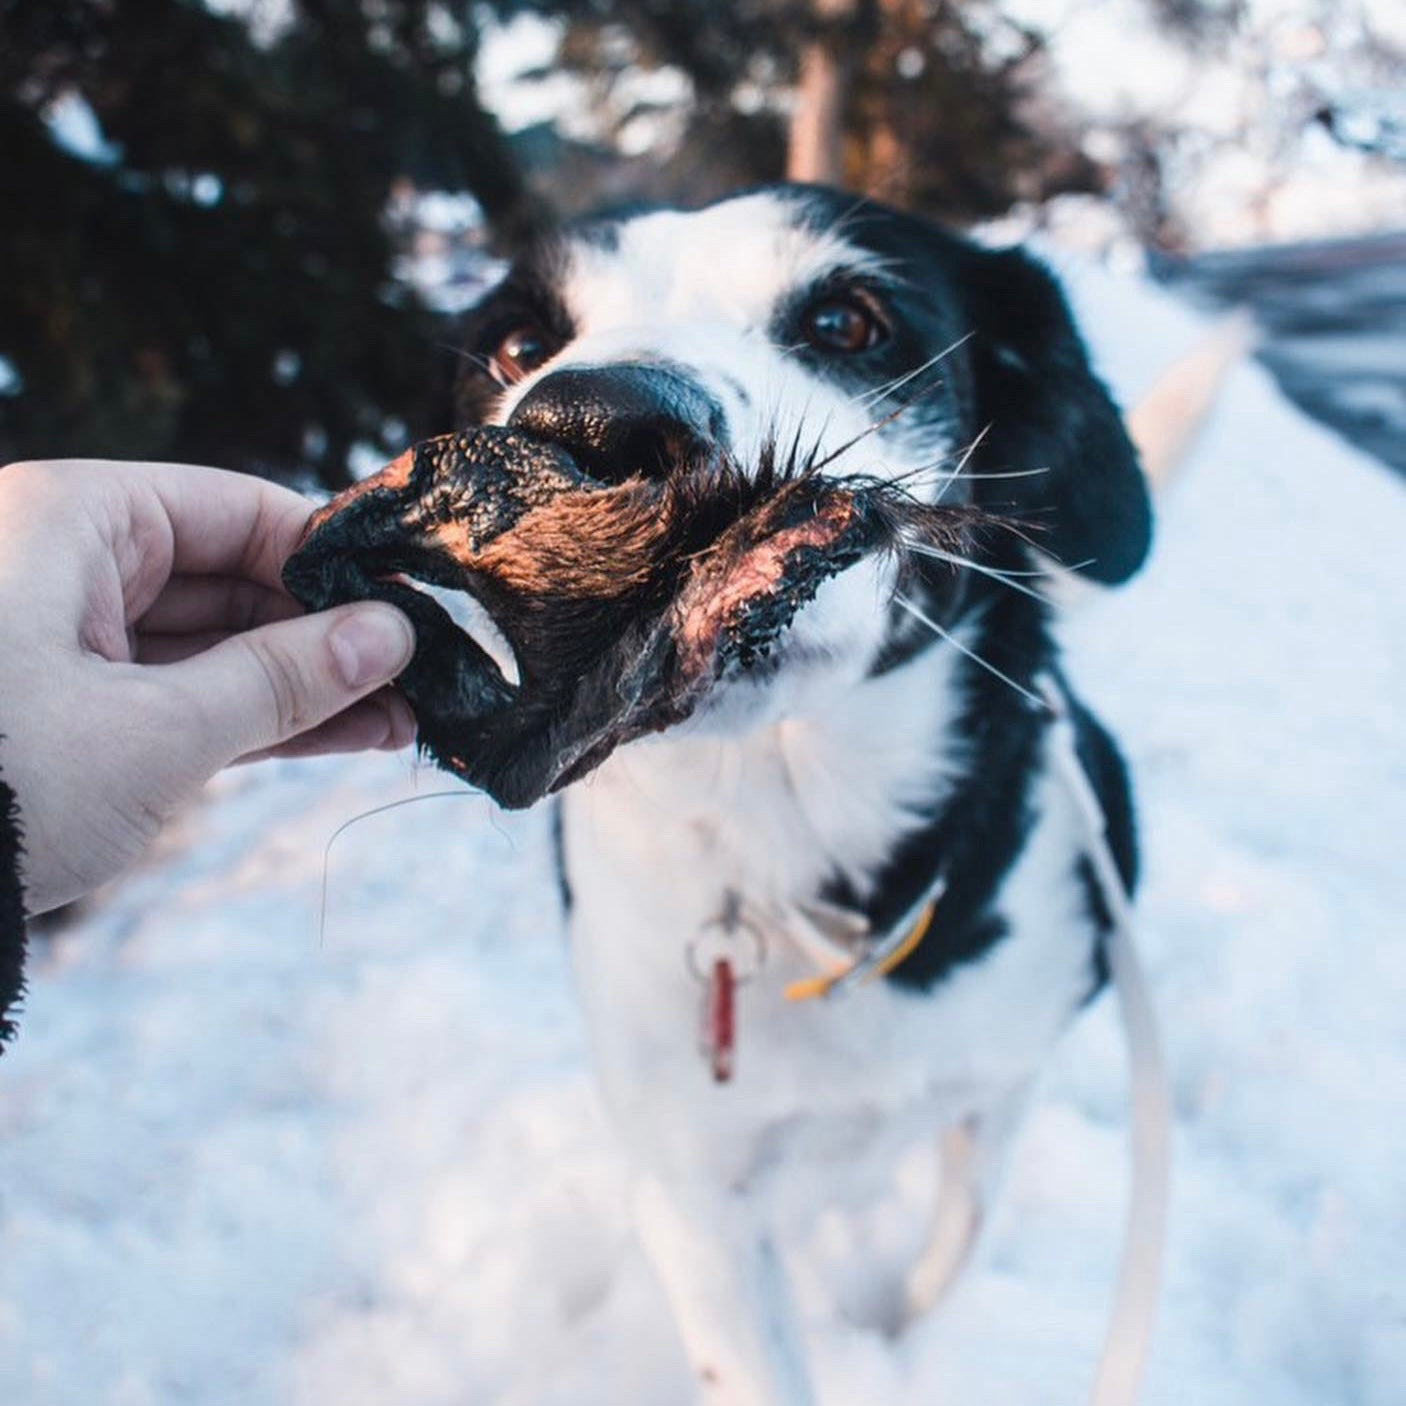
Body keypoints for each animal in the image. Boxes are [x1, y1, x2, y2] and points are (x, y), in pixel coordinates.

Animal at [449, 189, 1152, 1406]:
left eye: (845, 321)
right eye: (519, 343)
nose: (586, 430)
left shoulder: (1002, 1080)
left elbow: (953, 1245)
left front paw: (895, 1336)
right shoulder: (692, 1197)